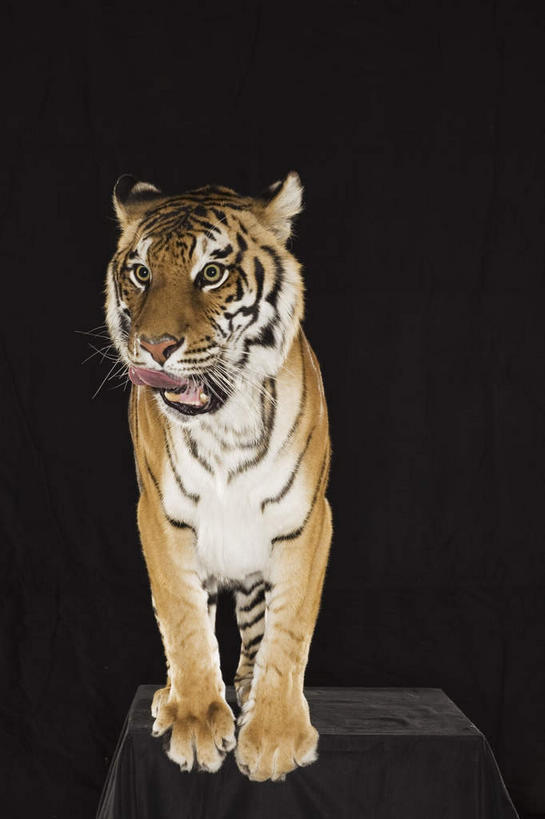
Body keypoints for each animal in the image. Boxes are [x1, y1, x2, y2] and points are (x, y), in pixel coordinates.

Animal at [104, 171, 332, 782]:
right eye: (141, 272)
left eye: (211, 273)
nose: (155, 346)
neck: (224, 422)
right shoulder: (160, 517)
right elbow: (183, 620)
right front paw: (194, 722)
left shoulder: (307, 521)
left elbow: (288, 631)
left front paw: (274, 735)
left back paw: (248, 692)